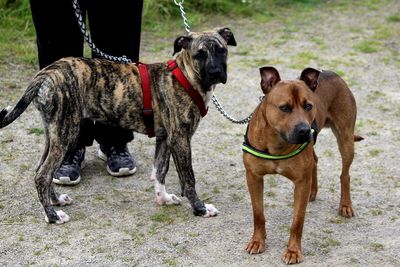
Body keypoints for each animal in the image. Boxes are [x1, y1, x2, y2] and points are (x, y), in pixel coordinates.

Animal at [0, 27, 236, 224]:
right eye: (200, 55)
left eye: (221, 51)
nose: (216, 73)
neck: (185, 76)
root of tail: (46, 73)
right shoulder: (180, 138)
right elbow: (188, 178)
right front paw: (200, 208)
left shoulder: (165, 138)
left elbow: (160, 170)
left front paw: (164, 199)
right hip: (67, 132)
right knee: (43, 175)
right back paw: (53, 216)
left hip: (53, 132)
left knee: (42, 171)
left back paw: (56, 201)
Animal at [244, 67, 362, 266]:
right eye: (284, 107)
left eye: (308, 106)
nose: (305, 130)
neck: (277, 143)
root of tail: (331, 73)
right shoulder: (254, 177)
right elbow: (258, 214)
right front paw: (257, 241)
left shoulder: (300, 183)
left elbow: (297, 221)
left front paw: (293, 251)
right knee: (315, 160)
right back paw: (313, 192)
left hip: (345, 139)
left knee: (344, 174)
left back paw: (345, 205)